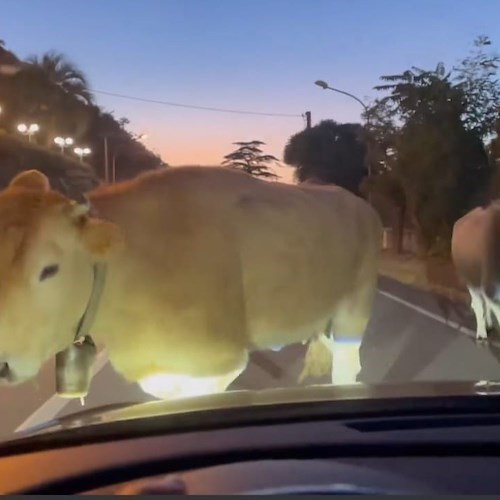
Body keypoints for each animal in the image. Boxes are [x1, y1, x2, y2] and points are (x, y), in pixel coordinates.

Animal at [0, 166, 380, 400]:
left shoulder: (220, 359)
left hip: (354, 307)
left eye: (49, 269)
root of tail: (360, 203)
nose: (2, 364)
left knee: (347, 364)